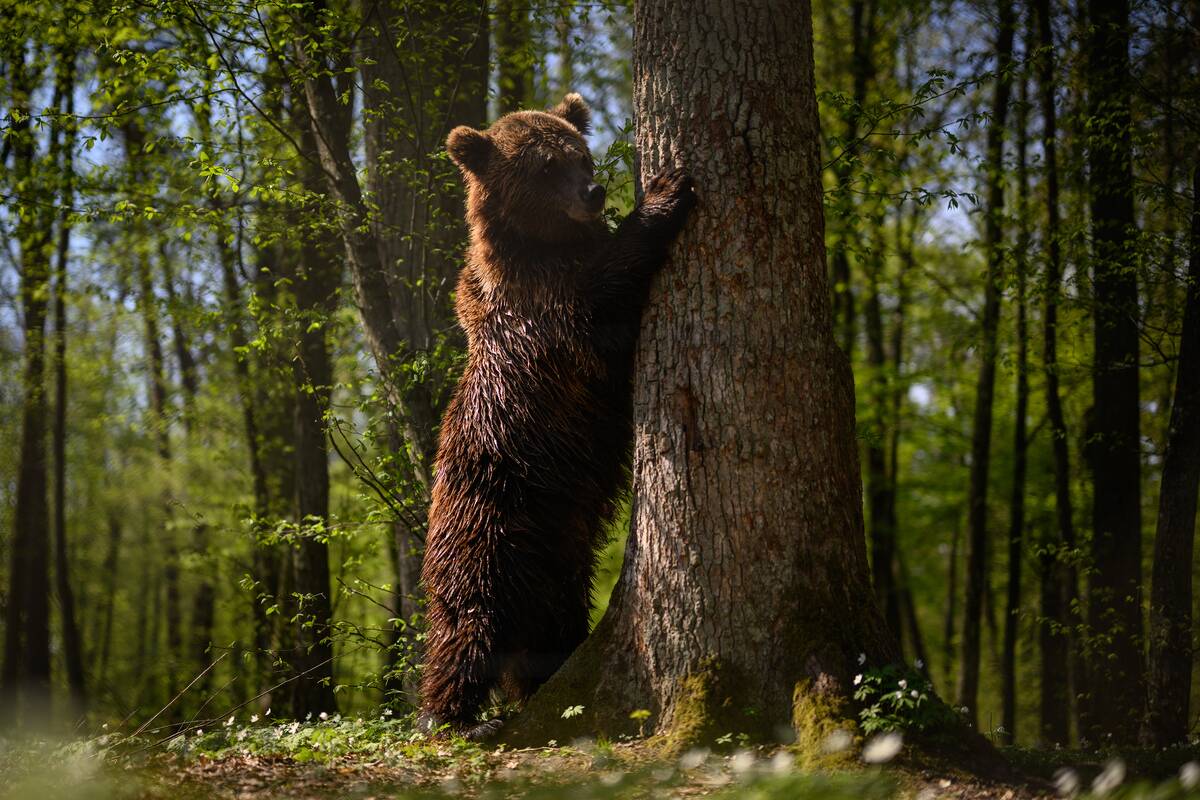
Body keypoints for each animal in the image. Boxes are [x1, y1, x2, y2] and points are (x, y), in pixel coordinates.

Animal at [418, 93, 696, 739]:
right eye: (545, 167)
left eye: (581, 155)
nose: (592, 191)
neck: (539, 247)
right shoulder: (547, 312)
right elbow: (602, 298)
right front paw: (665, 190)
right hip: (485, 527)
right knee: (466, 627)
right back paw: (451, 718)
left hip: (559, 559)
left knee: (549, 630)